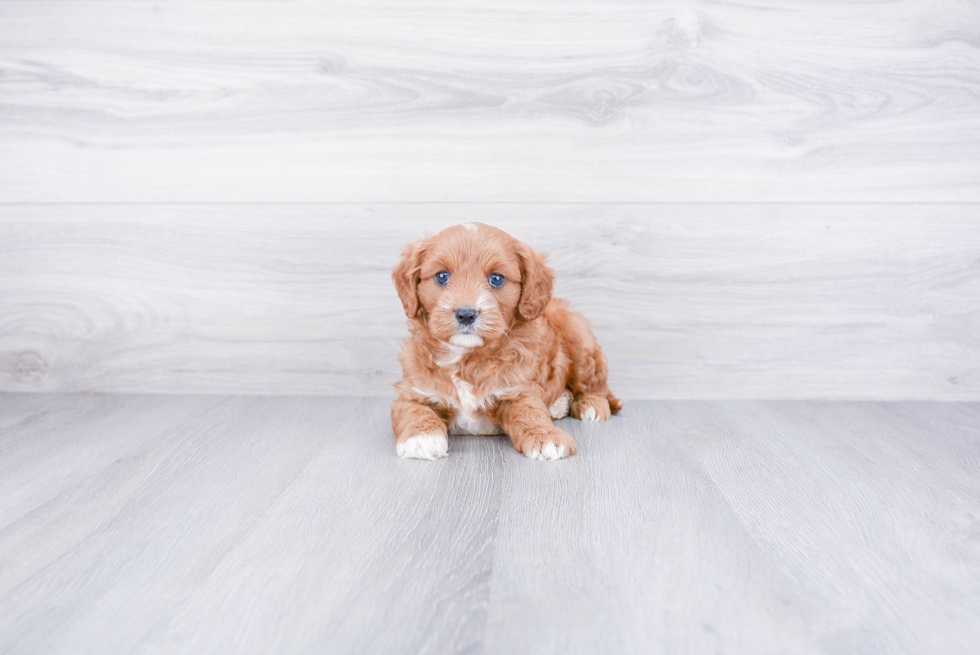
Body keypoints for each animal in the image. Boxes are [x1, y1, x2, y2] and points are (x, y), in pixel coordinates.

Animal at [390, 224, 620, 462]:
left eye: (497, 279)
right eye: (442, 276)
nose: (466, 314)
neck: (467, 357)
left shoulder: (519, 389)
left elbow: (530, 411)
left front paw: (547, 437)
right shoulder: (414, 390)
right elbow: (413, 410)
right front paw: (421, 438)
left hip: (579, 338)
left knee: (596, 384)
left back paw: (591, 405)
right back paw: (560, 403)